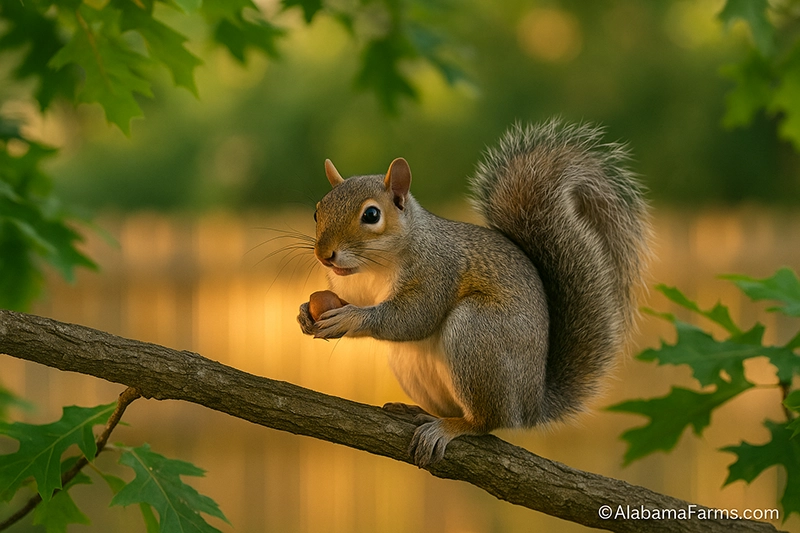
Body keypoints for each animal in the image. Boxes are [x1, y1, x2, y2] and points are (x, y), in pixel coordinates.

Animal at [297, 119, 650, 467]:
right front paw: (305, 315)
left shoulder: (437, 271)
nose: (324, 255)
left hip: (477, 335)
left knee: (486, 421)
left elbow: (414, 318)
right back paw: (421, 414)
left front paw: (350, 319)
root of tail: (532, 405)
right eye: (317, 211)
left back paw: (452, 427)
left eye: (371, 215)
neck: (372, 267)